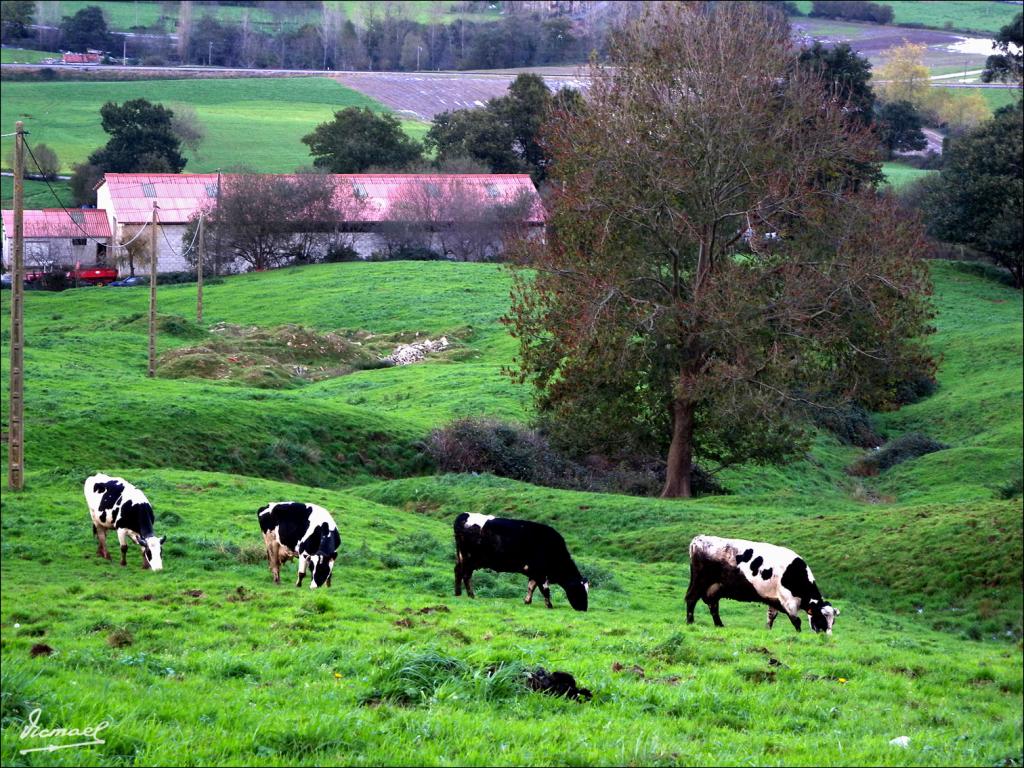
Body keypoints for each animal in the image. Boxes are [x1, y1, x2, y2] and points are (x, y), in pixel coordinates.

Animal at [452, 514, 589, 618]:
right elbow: (545, 590)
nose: (584, 608)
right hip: (469, 559)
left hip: (462, 558)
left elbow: (531, 587)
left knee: (458, 572)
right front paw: (549, 606)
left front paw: (527, 601)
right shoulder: (541, 574)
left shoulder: (534, 573)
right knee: (466, 575)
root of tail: (463, 515)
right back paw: (470, 595)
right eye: (580, 590)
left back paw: (458, 593)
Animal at [684, 536, 835, 638]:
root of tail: (699, 539)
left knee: (713, 605)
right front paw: (799, 634)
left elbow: (771, 617)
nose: (828, 637)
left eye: (833, 622)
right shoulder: (788, 601)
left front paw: (768, 630)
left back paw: (719, 625)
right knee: (691, 599)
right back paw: (690, 622)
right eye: (821, 619)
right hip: (700, 581)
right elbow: (796, 621)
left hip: (714, 587)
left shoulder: (774, 599)